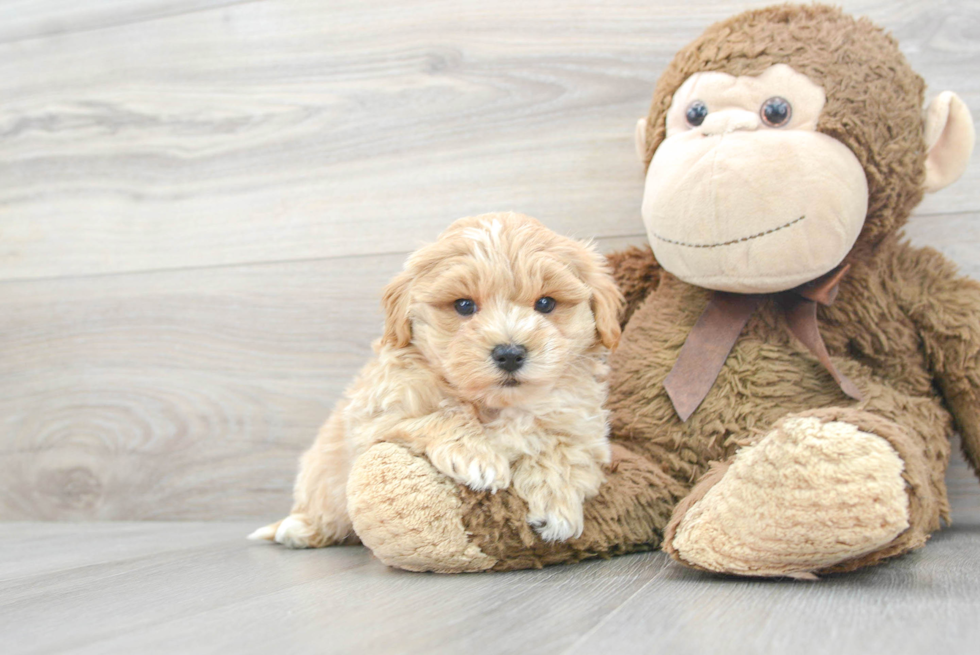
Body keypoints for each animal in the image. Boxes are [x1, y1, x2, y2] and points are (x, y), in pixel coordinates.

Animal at [249, 214, 624, 548]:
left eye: (546, 303)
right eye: (464, 305)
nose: (509, 353)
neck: (497, 405)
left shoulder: (583, 430)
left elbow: (562, 452)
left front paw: (558, 508)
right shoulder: (377, 415)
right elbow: (440, 413)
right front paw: (478, 458)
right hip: (321, 478)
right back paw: (298, 529)